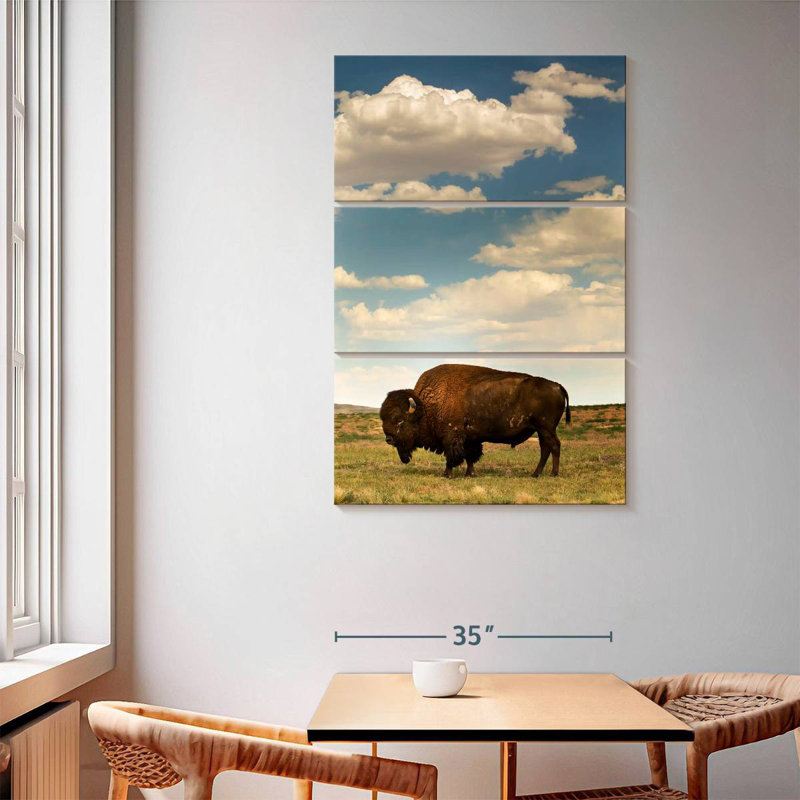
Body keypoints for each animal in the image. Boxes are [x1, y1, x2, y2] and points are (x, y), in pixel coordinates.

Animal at [380, 364, 570, 478]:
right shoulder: (470, 439)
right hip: (541, 430)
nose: (388, 439)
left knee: (554, 446)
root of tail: (557, 386)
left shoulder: (451, 437)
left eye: (398, 419)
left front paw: (447, 474)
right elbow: (470, 456)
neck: (426, 406)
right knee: (545, 449)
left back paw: (553, 474)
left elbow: (452, 456)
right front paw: (469, 474)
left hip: (546, 428)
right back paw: (535, 474)